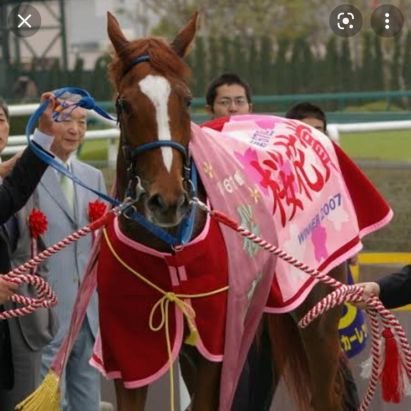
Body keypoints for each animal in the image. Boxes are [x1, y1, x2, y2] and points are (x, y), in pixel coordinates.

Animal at [104, 10, 350, 411]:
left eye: (186, 101)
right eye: (124, 104)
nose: (167, 200)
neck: (169, 245)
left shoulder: (215, 344)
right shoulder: (133, 346)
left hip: (317, 312)